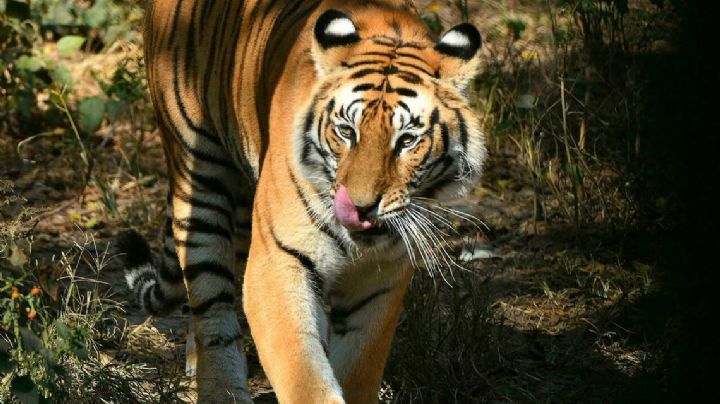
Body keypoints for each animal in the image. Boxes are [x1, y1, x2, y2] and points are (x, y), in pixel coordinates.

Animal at [117, 0, 485, 402]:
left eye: (407, 140)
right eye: (346, 131)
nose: (360, 208)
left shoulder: (381, 280)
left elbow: (358, 370)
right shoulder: (277, 264)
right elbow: (304, 376)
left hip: (242, 216)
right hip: (198, 169)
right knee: (210, 303)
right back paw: (220, 387)